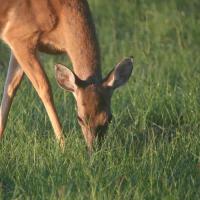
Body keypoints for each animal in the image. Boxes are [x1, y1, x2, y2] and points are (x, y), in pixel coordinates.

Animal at [0, 0, 134, 151]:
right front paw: (63, 145)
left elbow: (10, 87)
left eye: (109, 118)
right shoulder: (19, 36)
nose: (93, 149)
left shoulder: (18, 44)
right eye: (79, 118)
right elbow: (44, 88)